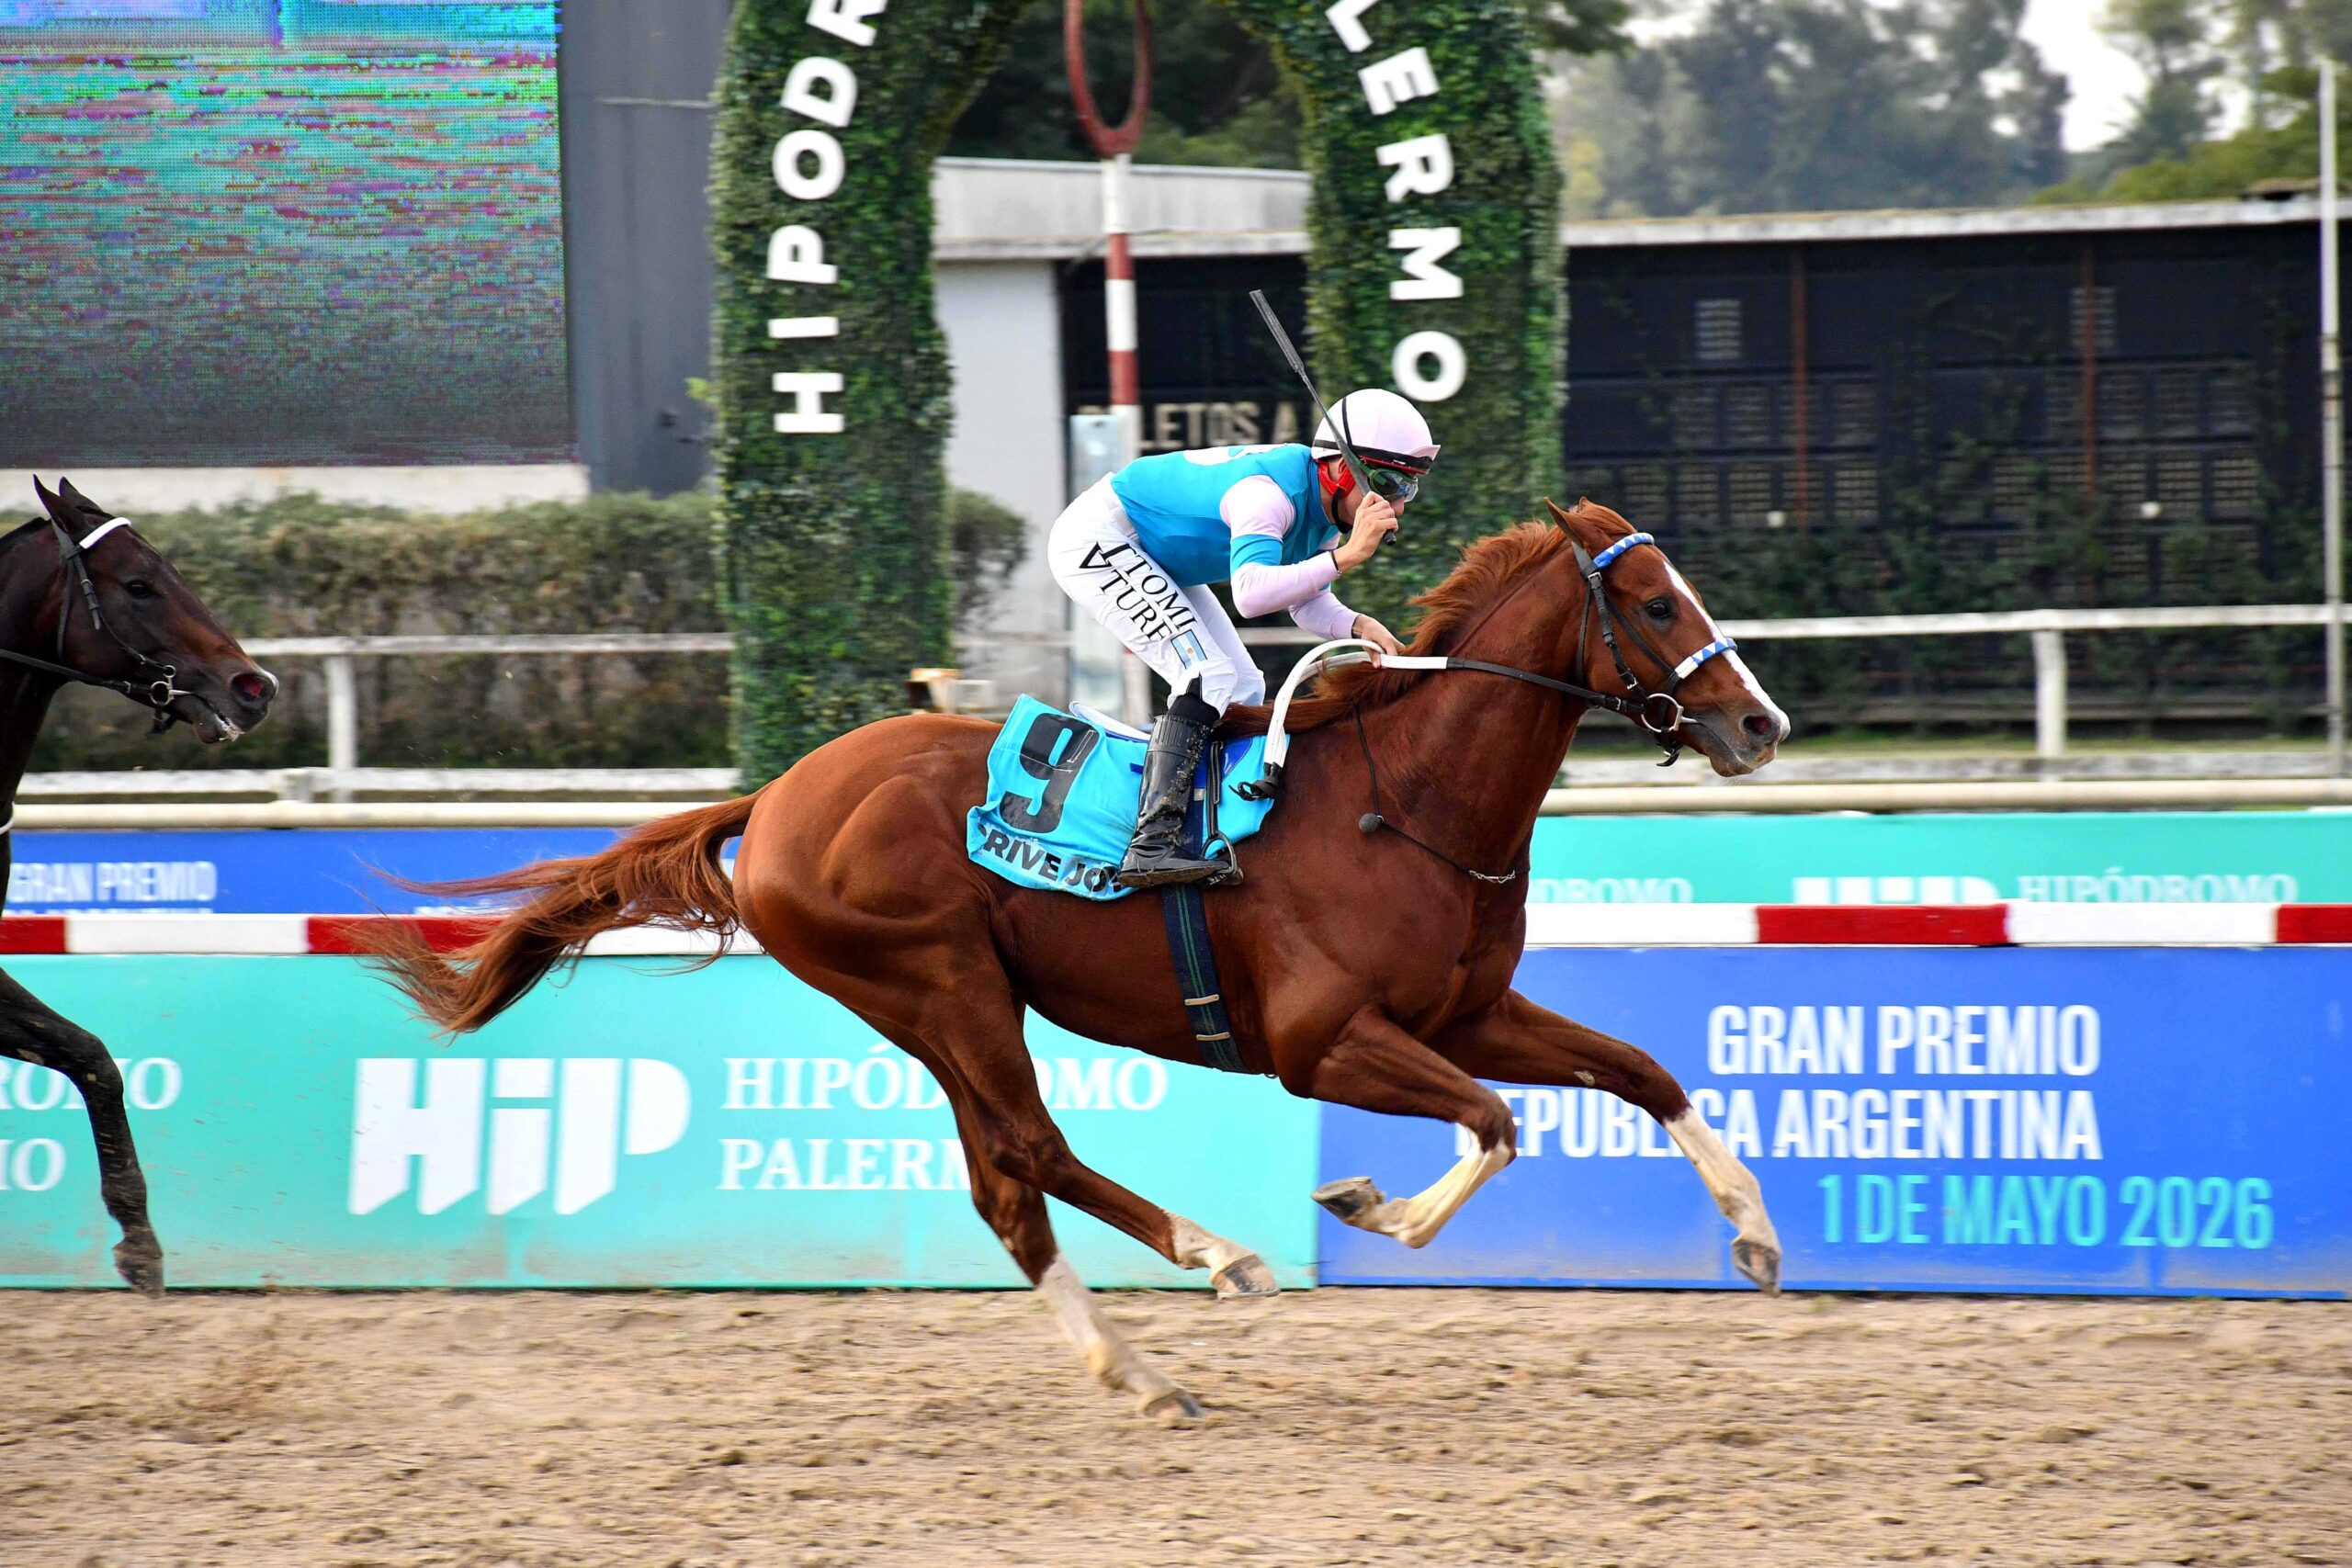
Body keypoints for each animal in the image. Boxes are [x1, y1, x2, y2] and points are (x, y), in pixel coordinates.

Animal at [364, 498, 1790, 1421]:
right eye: (1653, 602)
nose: (1760, 726)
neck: (1404, 801)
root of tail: (772, 799)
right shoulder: (1320, 1045)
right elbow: (1494, 1123)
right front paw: (1364, 1204)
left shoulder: (1468, 1011)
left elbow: (1640, 1069)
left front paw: (1758, 1237)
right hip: (941, 982)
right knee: (1034, 1149)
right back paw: (1223, 1259)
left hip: (934, 1008)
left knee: (1005, 1185)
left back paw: (1142, 1371)